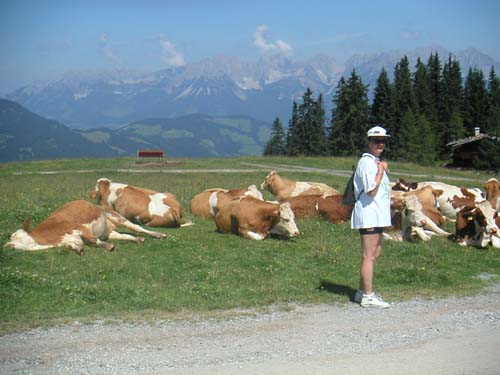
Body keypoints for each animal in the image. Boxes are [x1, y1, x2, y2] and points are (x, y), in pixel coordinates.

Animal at [3, 200, 165, 256]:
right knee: (126, 236)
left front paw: (108, 247)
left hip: (118, 217)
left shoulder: (81, 227)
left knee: (138, 228)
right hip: (110, 231)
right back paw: (138, 240)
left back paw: (158, 235)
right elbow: (74, 245)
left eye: (14, 237)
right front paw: (79, 249)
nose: (6, 245)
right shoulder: (69, 239)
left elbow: (93, 239)